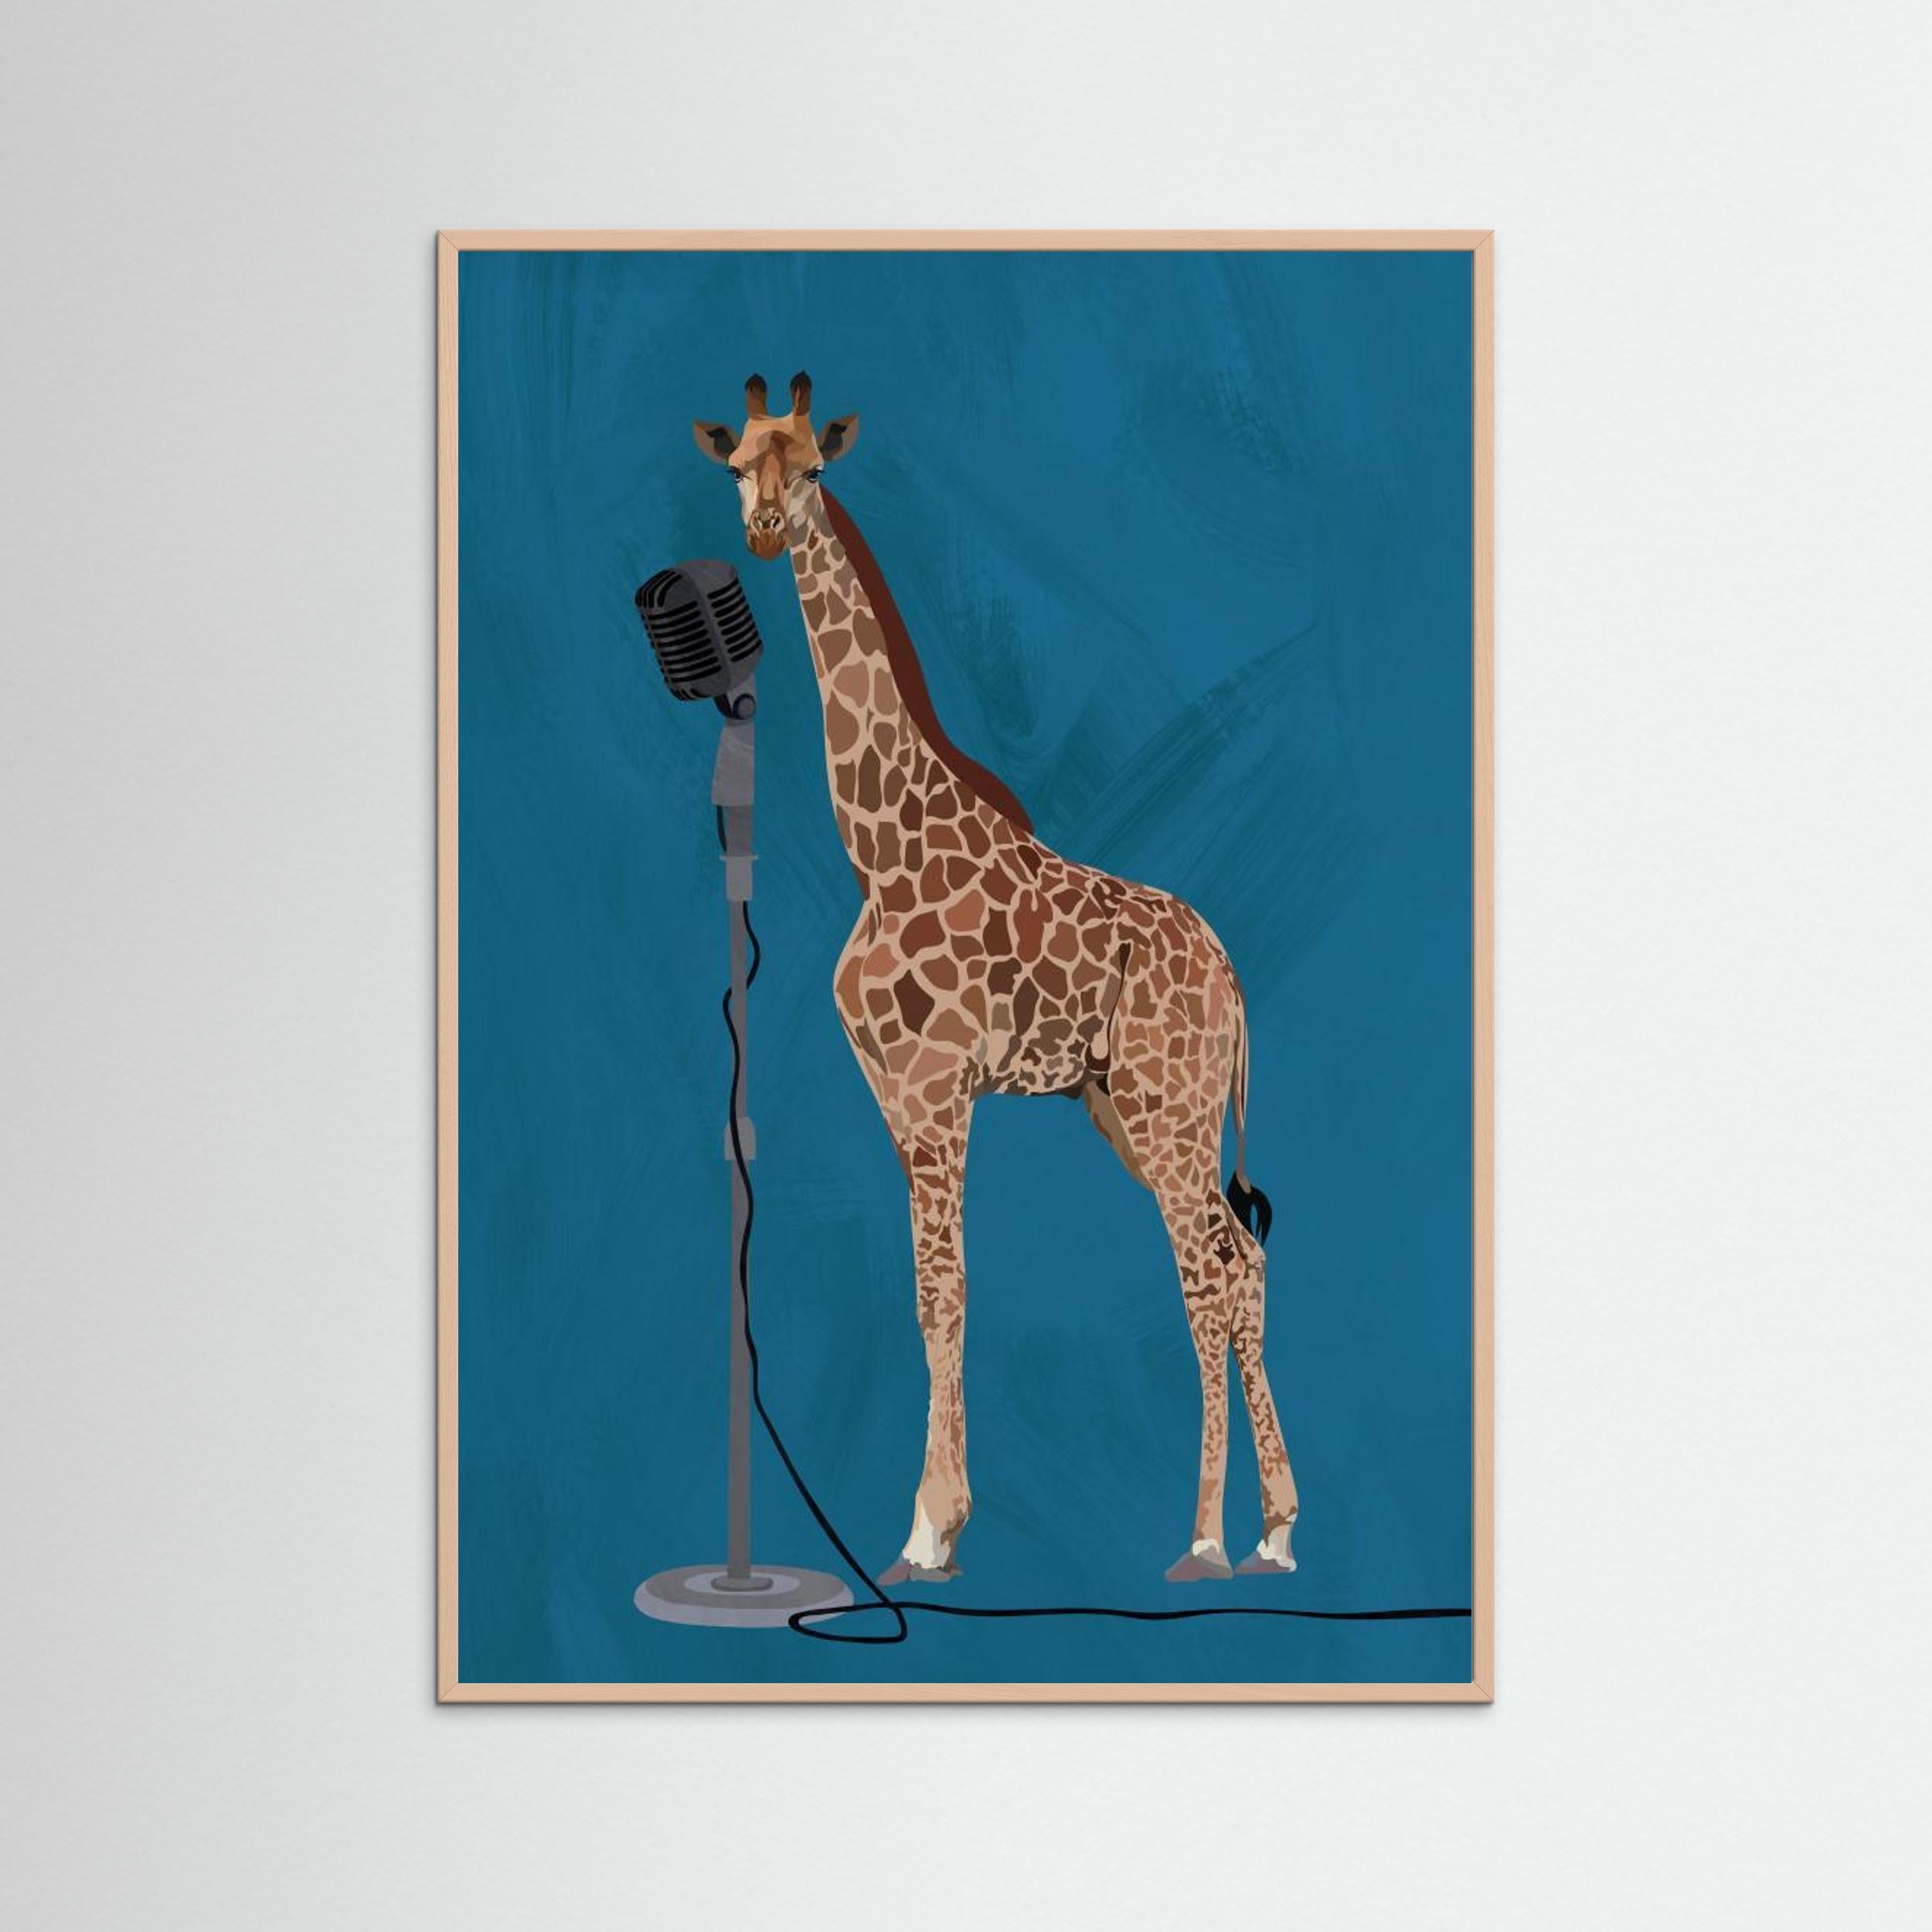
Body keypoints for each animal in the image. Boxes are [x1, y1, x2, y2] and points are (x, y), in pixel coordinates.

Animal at [692, 371, 1299, 1584]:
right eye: (737, 465)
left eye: (814, 467)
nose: (768, 529)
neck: (878, 847)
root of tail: (1232, 977)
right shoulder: (893, 1094)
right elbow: (930, 1294)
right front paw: (934, 1521)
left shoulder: (938, 1091)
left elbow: (945, 1292)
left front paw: (931, 1528)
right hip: (1132, 1109)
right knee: (1239, 1258)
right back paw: (1273, 1530)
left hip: (1169, 1108)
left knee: (1207, 1275)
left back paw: (1207, 1540)